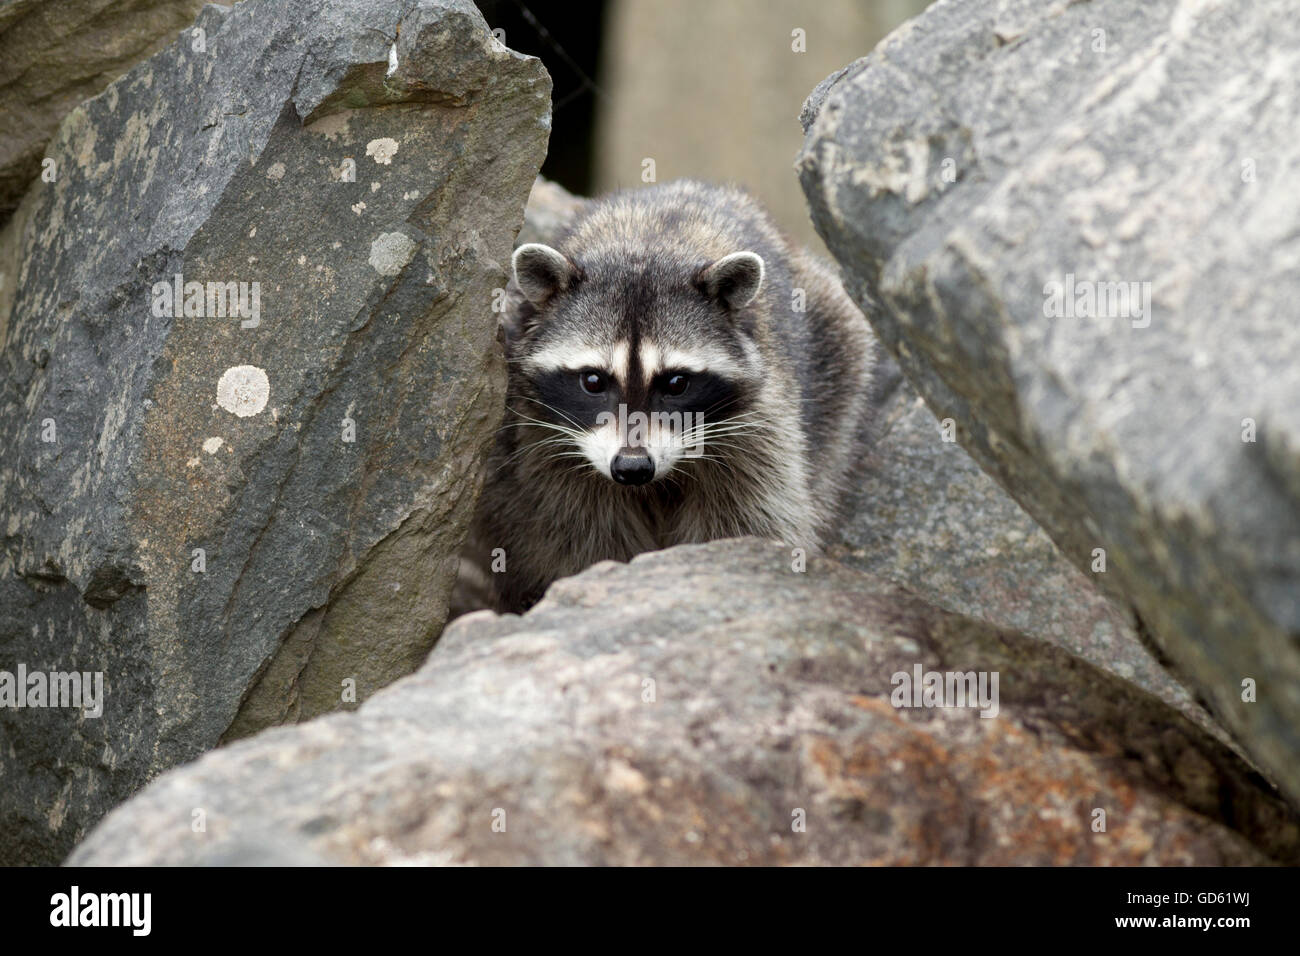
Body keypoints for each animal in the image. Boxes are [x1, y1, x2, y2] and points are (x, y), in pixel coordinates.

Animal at [467, 179, 877, 613]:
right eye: (593, 381)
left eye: (676, 383)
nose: (631, 468)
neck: (650, 247)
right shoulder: (540, 449)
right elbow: (573, 534)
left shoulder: (760, 427)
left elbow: (751, 517)